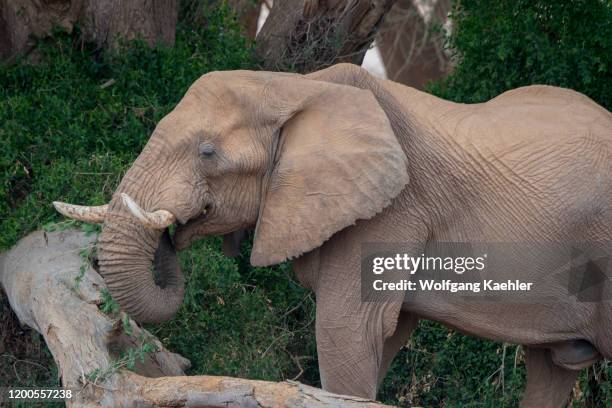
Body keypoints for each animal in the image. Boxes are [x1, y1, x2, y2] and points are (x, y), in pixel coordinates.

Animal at [53, 62, 612, 406]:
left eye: (207, 152)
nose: (175, 230)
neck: (296, 86)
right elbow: (379, 338)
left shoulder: (392, 209)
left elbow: (347, 330)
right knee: (551, 370)